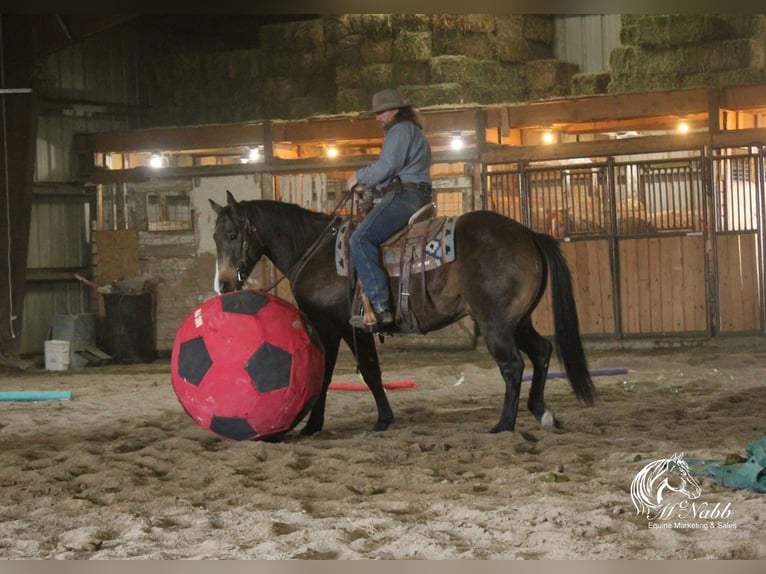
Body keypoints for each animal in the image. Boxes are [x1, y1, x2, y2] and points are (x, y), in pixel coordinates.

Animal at [210, 191, 600, 438]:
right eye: (214, 237)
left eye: (232, 234)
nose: (224, 284)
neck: (315, 251)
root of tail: (529, 234)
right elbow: (369, 372)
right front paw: (381, 419)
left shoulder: (335, 326)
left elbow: (343, 372)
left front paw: (314, 426)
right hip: (518, 321)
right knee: (542, 352)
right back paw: (541, 411)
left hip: (496, 325)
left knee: (514, 366)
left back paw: (504, 424)